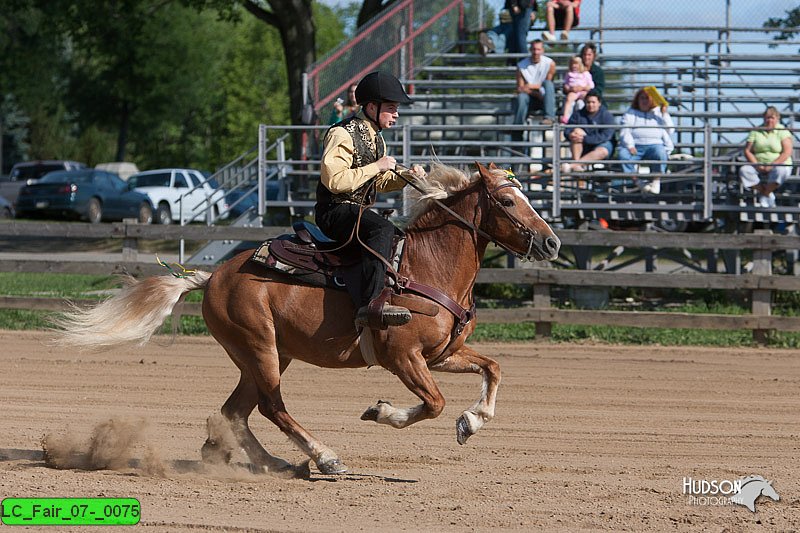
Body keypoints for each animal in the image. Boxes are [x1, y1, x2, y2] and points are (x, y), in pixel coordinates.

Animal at [51, 161, 564, 474]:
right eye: (507, 202)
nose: (552, 242)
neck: (426, 266)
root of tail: (213, 276)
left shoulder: (443, 353)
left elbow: (494, 368)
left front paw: (471, 422)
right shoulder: (403, 357)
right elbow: (433, 403)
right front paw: (382, 411)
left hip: (264, 356)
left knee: (236, 412)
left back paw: (269, 462)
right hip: (261, 349)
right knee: (270, 408)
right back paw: (323, 457)